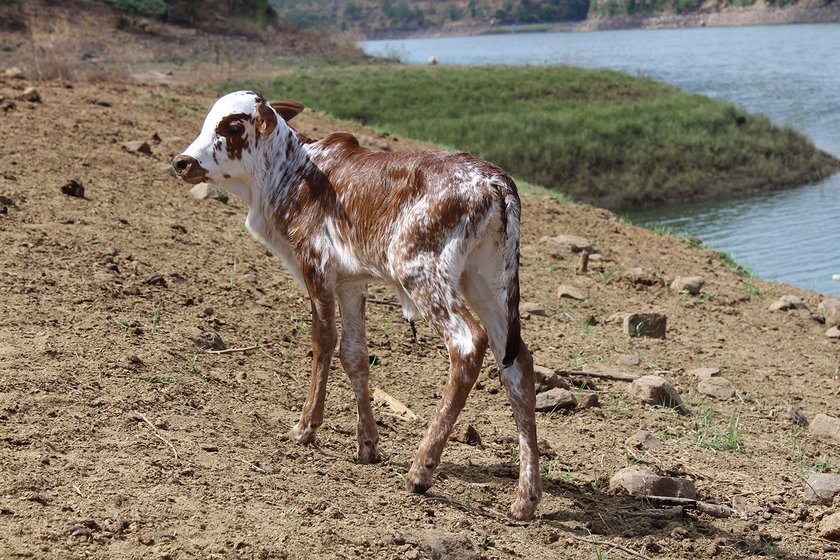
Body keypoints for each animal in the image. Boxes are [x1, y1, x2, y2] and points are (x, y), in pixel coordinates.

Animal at [176, 91, 544, 520]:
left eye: (233, 126)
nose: (182, 162)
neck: (292, 173)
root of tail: (495, 180)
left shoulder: (316, 264)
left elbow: (323, 340)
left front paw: (306, 428)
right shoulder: (351, 282)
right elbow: (354, 353)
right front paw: (367, 444)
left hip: (420, 270)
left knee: (468, 343)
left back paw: (421, 470)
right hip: (486, 281)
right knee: (518, 365)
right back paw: (525, 498)